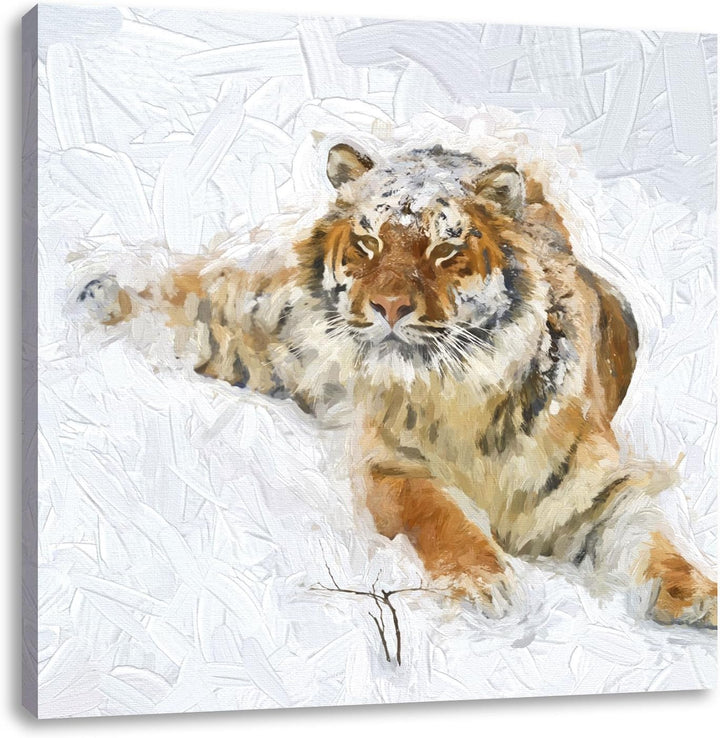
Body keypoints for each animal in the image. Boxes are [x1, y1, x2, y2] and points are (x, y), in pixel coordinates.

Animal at [78, 141, 717, 628]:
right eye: (368, 243)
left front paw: (694, 595)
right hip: (266, 330)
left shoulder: (599, 487)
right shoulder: (393, 465)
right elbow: (441, 516)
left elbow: (652, 539)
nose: (388, 306)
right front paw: (484, 584)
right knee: (199, 304)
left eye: (445, 247)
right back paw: (100, 294)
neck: (462, 394)